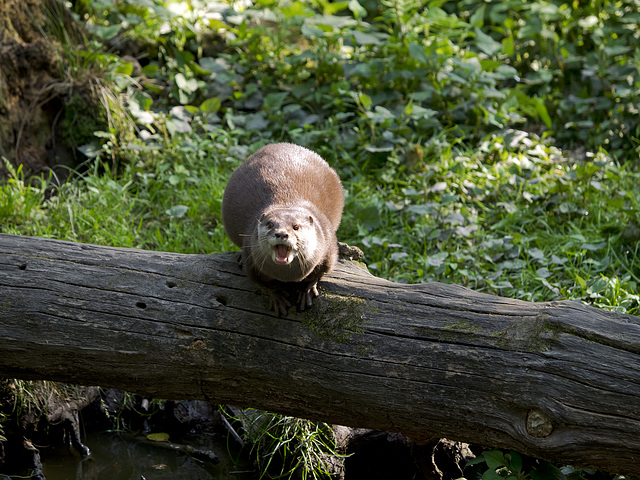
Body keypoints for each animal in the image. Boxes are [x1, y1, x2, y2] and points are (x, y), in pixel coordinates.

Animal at [224, 142, 344, 316]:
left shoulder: (328, 250)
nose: (281, 234)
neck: (288, 276)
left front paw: (306, 290)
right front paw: (278, 297)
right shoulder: (252, 261)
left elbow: (318, 274)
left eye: (296, 226)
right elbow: (264, 283)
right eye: (270, 224)